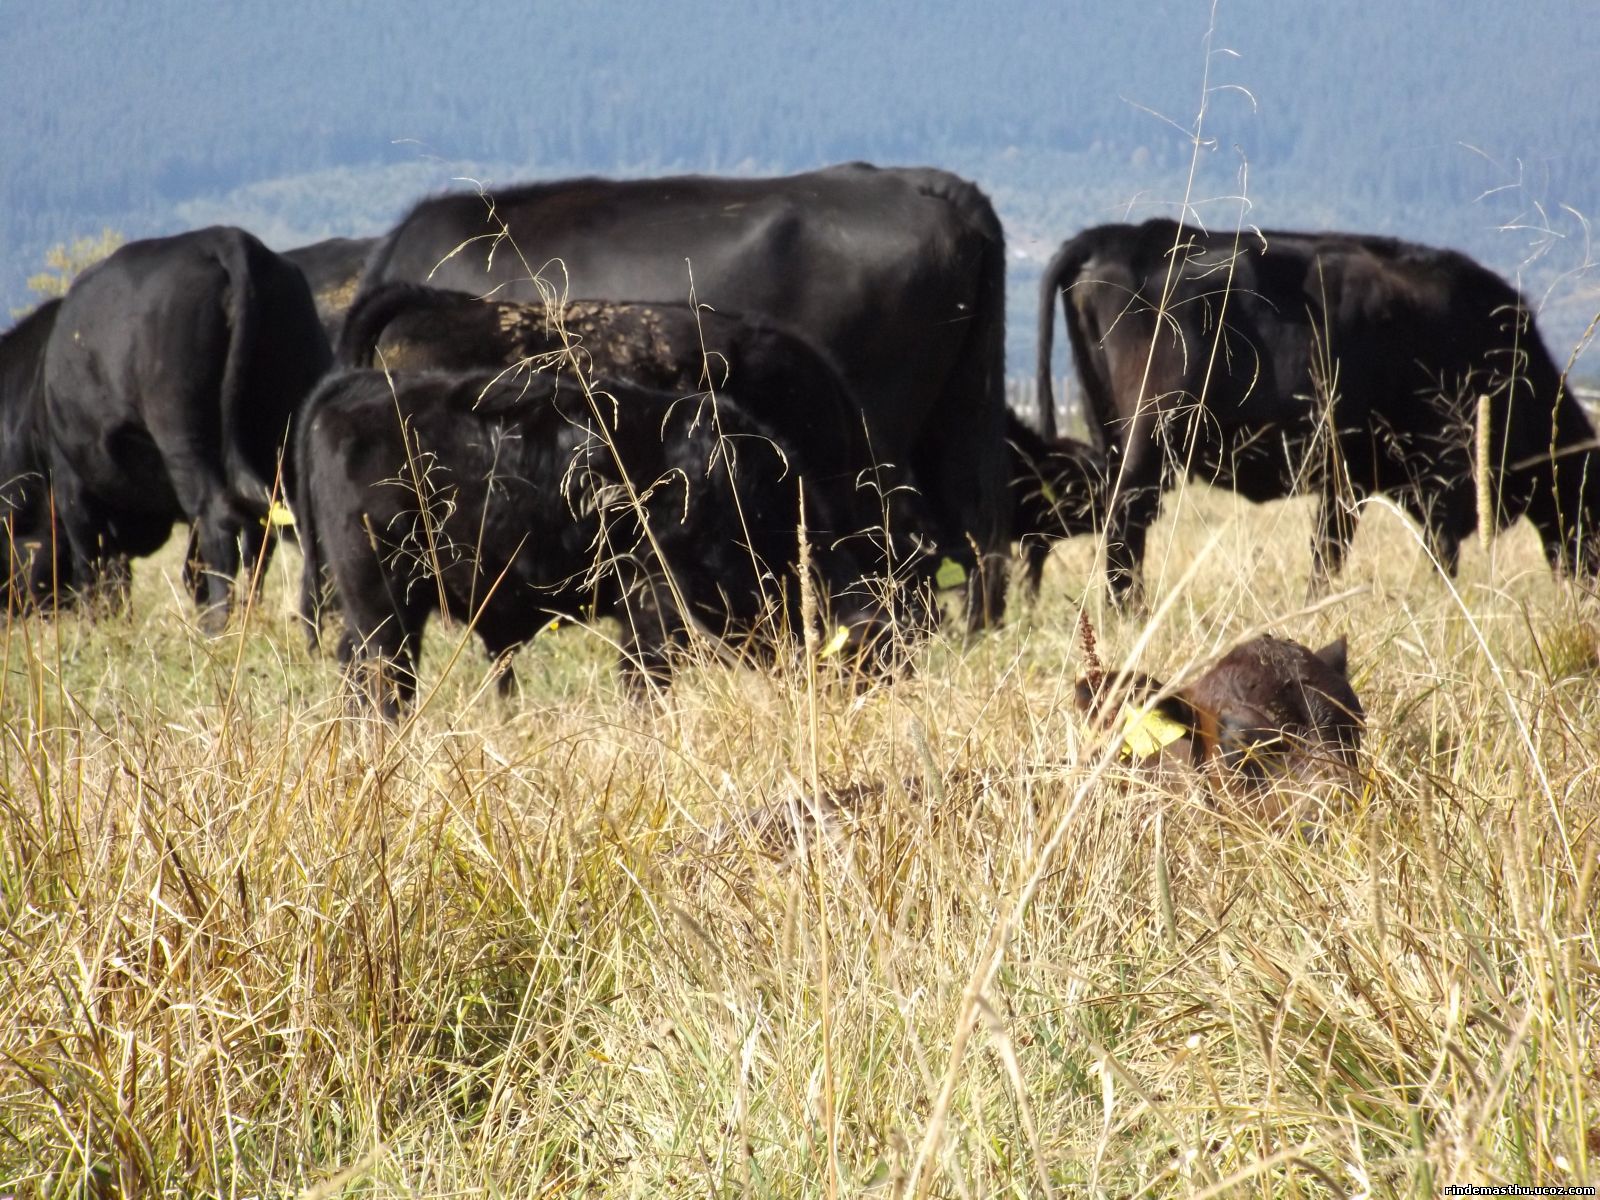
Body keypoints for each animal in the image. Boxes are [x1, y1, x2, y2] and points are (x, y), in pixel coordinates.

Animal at [31, 226, 330, 621]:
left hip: (183, 439)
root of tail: (227, 239)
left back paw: (220, 623)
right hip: (285, 425)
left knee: (219, 524)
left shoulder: (70, 482)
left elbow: (93, 565)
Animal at [293, 366, 918, 717]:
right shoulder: (655, 612)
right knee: (380, 685)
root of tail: (355, 385)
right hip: (386, 609)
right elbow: (646, 690)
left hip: (376, 612)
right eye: (873, 662)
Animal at [1037, 219, 1600, 605]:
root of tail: (1130, 234)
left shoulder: (1351, 481)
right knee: (1126, 519)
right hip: (1152, 440)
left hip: (1115, 433)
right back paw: (1129, 610)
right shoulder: (1429, 482)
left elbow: (1328, 554)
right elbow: (1422, 555)